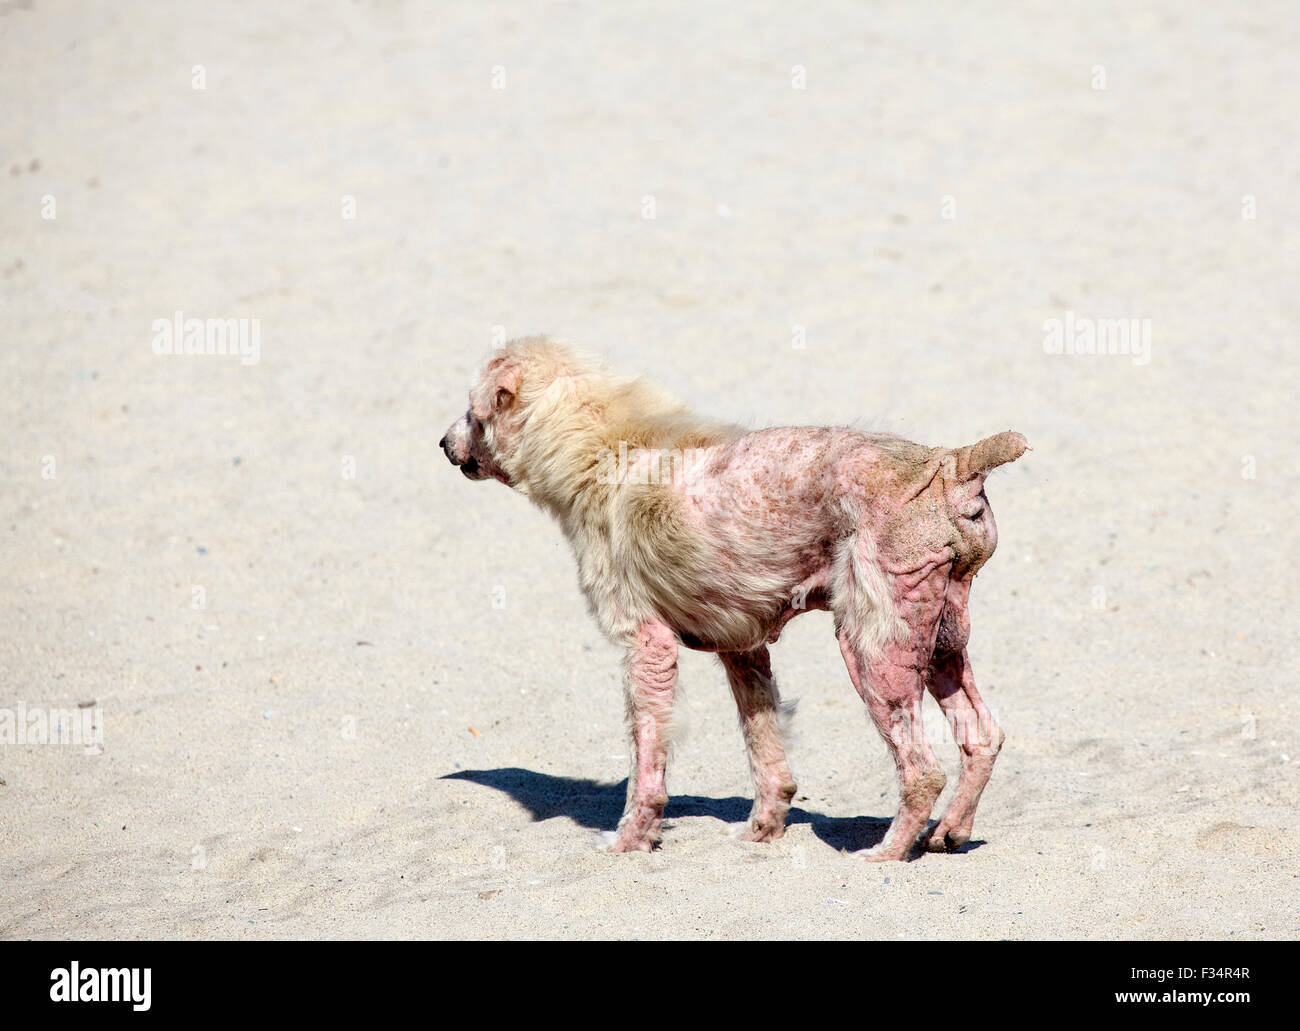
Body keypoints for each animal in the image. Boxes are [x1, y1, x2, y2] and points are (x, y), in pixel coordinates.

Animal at [441, 338, 1029, 863]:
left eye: (472, 412)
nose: (444, 444)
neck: (599, 445)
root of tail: (948, 464)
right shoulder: (743, 650)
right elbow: (768, 754)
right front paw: (762, 832)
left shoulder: (647, 648)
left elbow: (646, 770)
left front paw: (630, 842)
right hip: (941, 644)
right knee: (982, 735)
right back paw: (950, 832)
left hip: (874, 654)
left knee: (923, 771)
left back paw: (886, 853)